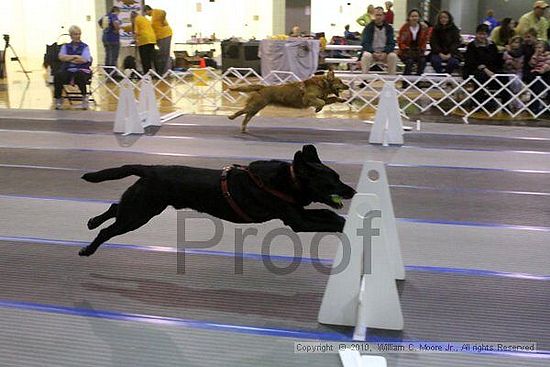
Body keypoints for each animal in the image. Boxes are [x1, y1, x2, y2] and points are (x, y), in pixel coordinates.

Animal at [81, 145, 358, 258]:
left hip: (143, 207)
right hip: (140, 213)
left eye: (338, 177)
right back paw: (88, 249)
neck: (288, 180)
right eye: (332, 181)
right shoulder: (297, 220)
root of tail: (150, 169)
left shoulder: (298, 212)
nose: (353, 191)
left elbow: (329, 215)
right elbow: (330, 220)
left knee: (115, 208)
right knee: (109, 229)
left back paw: (92, 221)